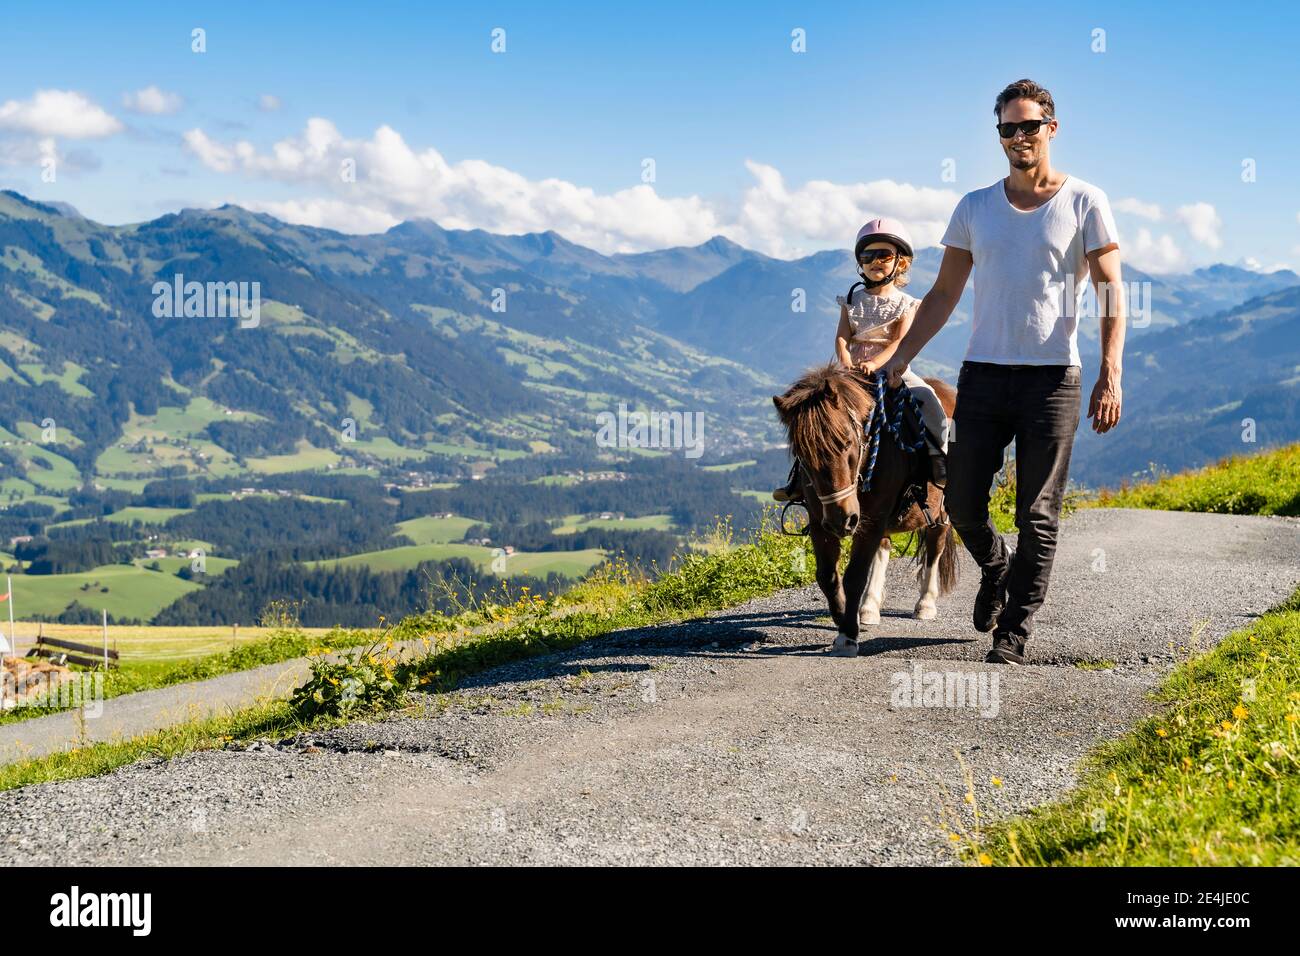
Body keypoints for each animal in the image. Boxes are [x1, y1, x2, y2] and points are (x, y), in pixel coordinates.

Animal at [769, 366, 967, 658]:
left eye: (845, 442)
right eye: (802, 455)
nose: (842, 518)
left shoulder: (871, 519)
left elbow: (854, 576)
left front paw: (847, 636)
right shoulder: (820, 522)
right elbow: (827, 576)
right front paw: (844, 616)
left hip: (939, 512)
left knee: (934, 548)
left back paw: (925, 604)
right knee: (883, 549)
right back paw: (869, 607)